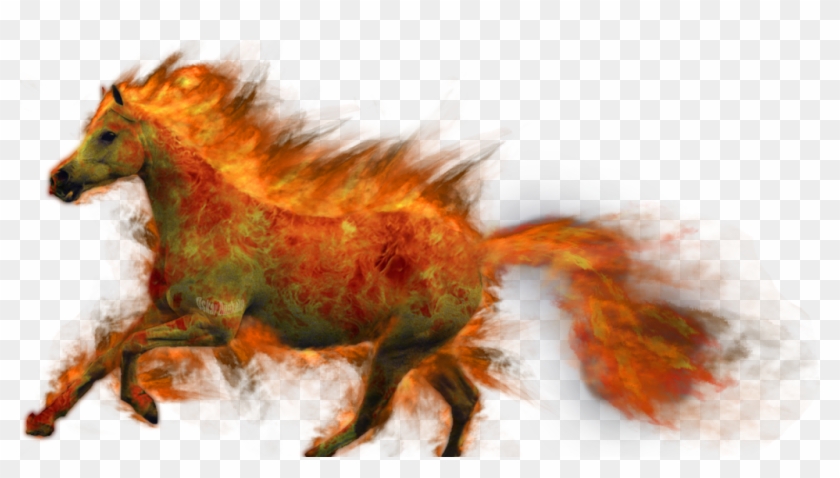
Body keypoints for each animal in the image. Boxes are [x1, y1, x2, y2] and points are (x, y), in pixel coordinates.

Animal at [28, 55, 733, 457]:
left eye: (107, 134)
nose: (59, 181)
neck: (206, 218)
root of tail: (477, 246)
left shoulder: (215, 324)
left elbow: (126, 350)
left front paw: (146, 408)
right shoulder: (162, 310)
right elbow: (105, 354)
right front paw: (44, 420)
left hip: (397, 350)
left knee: (378, 411)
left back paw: (319, 449)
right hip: (429, 348)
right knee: (465, 402)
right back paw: (443, 458)